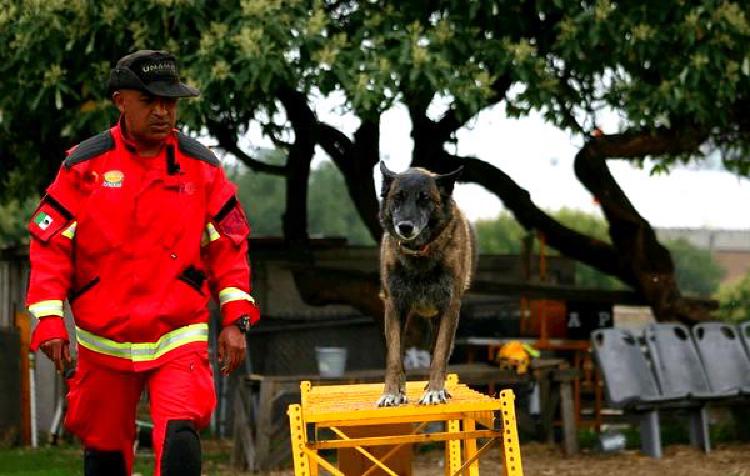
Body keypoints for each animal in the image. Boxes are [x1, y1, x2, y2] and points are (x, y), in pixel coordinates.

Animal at [378, 163, 478, 406]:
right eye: (397, 197)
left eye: (425, 199)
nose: (405, 227)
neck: (419, 255)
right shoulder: (394, 305)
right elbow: (394, 356)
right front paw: (391, 393)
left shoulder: (449, 306)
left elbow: (440, 352)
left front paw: (434, 390)